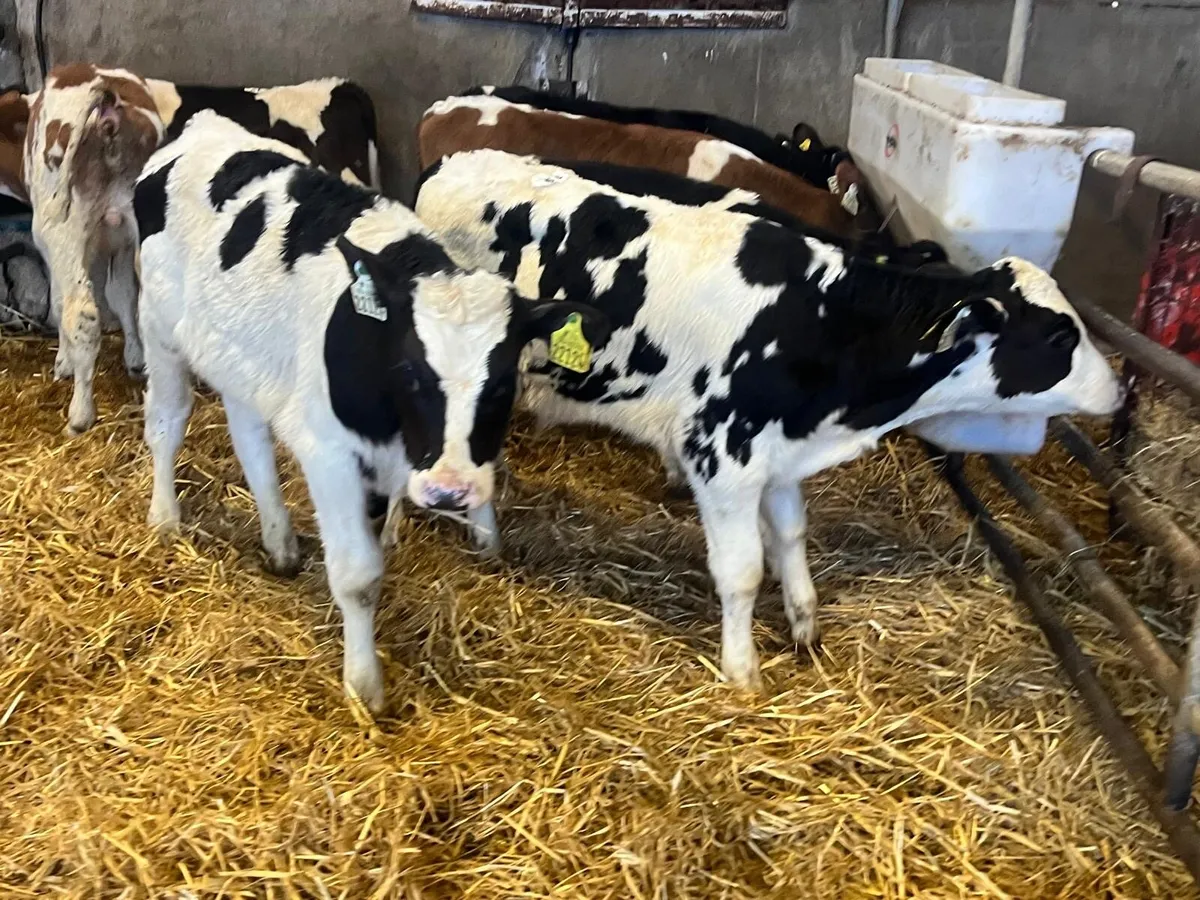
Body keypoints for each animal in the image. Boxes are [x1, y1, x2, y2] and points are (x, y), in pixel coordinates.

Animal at [133, 114, 607, 711]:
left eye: (503, 383)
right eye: (410, 371)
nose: (449, 491)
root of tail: (203, 125)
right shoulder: (331, 454)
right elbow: (358, 576)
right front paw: (364, 685)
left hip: (243, 355)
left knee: (249, 435)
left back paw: (279, 543)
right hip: (158, 326)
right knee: (167, 422)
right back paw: (165, 519)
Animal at [414, 149, 1124, 691]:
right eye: (1060, 337)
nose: (1118, 389)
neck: (823, 320)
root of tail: (451, 161)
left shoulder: (780, 453)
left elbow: (790, 534)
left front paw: (804, 621)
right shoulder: (720, 455)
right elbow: (742, 571)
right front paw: (742, 671)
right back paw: (483, 535)